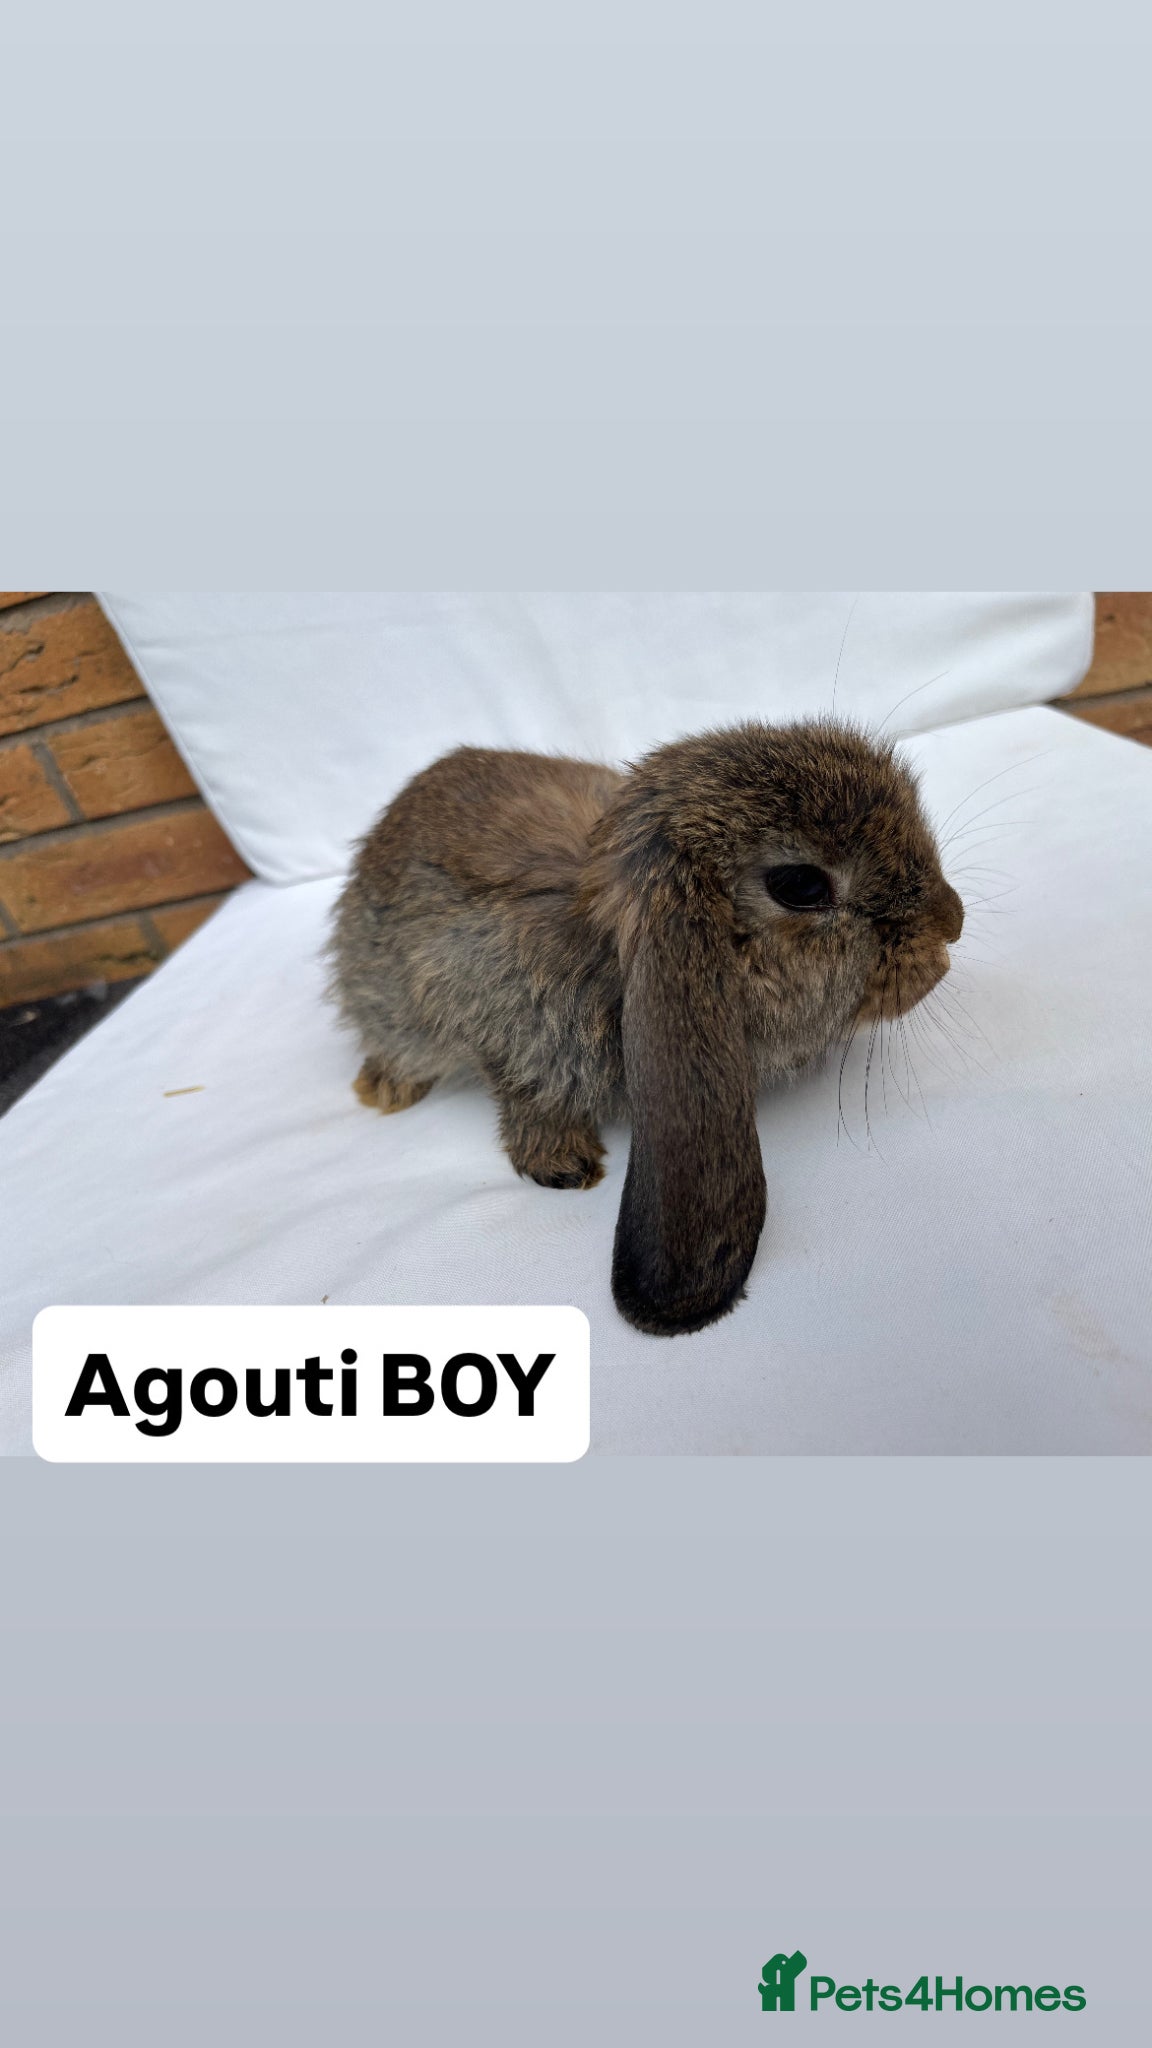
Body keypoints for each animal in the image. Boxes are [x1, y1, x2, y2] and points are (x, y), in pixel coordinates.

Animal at [327, 721, 963, 1337]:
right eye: (801, 887)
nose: (951, 924)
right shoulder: (492, 1013)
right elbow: (525, 1092)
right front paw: (564, 1165)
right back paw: (384, 1090)